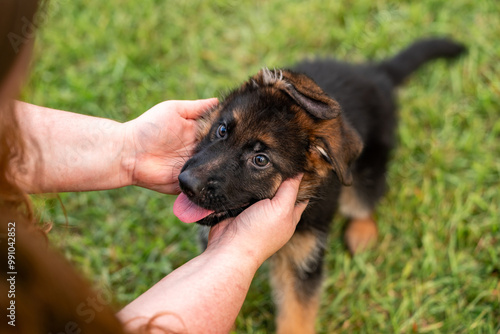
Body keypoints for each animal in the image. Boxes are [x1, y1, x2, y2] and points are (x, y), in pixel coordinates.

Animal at [172, 38, 464, 332]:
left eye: (260, 160)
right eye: (222, 130)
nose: (186, 184)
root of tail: (374, 73)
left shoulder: (303, 262)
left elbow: (296, 318)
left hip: (364, 170)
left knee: (364, 201)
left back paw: (362, 233)